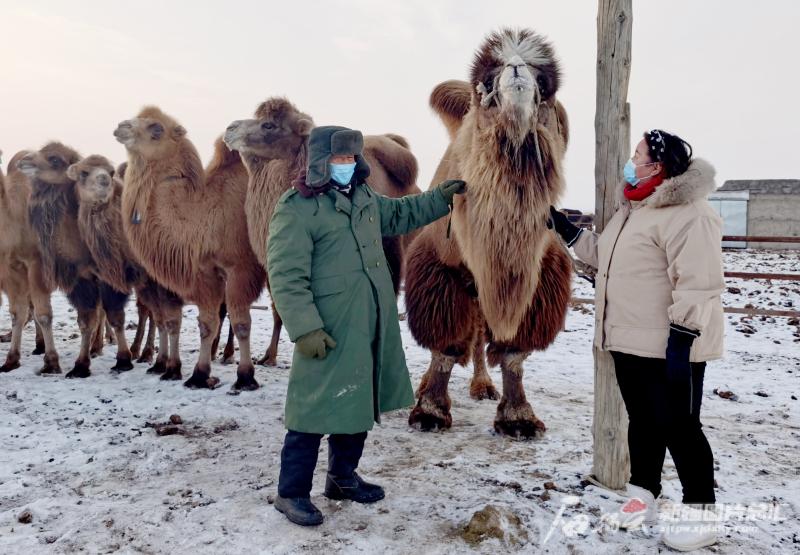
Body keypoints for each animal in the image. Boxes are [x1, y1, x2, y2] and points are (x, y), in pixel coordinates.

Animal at [0, 149, 60, 374]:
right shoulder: (10, 267)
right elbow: (18, 312)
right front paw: (11, 360)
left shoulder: (38, 262)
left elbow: (43, 314)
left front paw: (51, 362)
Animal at [17, 143, 135, 378]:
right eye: (83, 172)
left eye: (54, 159)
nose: (24, 160)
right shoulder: (83, 279)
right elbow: (86, 320)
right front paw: (80, 365)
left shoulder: (113, 275)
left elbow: (115, 316)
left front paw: (123, 360)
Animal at [114, 108, 268, 390]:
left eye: (156, 128)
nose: (121, 126)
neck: (207, 212)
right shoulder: (205, 272)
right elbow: (207, 324)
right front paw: (199, 374)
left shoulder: (240, 268)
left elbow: (241, 322)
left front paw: (245, 376)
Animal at [406, 29, 576, 438]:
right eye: (486, 79)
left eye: (544, 83)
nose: (516, 69)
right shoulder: (439, 267)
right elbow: (446, 345)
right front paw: (429, 412)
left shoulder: (540, 277)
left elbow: (513, 352)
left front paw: (518, 418)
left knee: (482, 333)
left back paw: (483, 386)